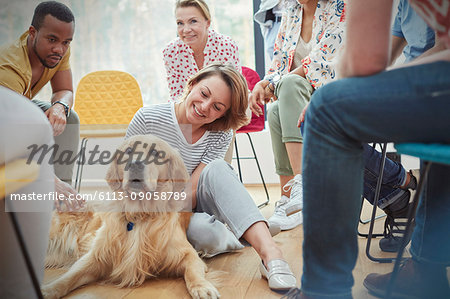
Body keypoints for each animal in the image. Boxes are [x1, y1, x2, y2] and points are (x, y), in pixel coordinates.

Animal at [42, 135, 220, 299]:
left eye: (155, 153)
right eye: (128, 151)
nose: (135, 164)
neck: (139, 214)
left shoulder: (188, 254)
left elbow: (192, 272)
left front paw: (202, 287)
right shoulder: (96, 255)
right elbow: (69, 277)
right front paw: (48, 289)